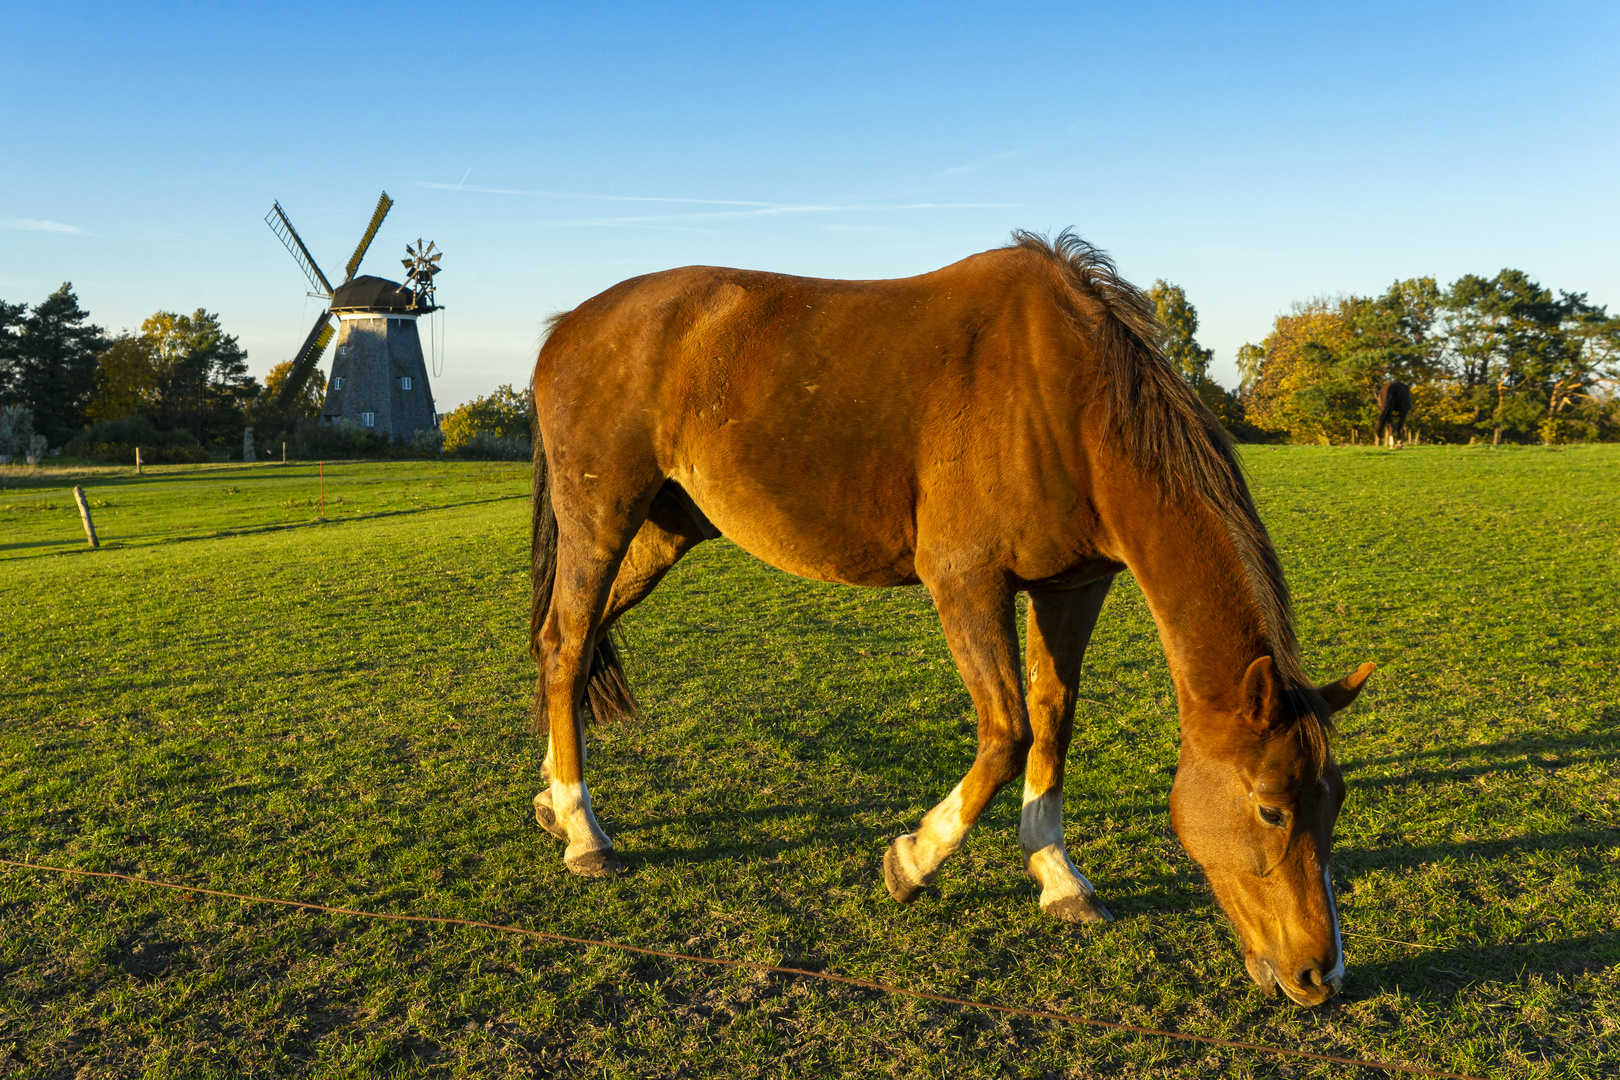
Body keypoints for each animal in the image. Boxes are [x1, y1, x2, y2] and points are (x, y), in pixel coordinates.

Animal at [524, 233, 1373, 1010]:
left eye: (1335, 798)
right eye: (1270, 807)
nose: (1320, 975)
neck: (1067, 398)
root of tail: (570, 325)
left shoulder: (1074, 588)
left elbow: (1052, 723)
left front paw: (1059, 876)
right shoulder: (967, 583)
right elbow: (1007, 735)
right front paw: (913, 861)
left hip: (663, 531)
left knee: (565, 645)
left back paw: (553, 801)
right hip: (603, 520)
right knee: (567, 646)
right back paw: (585, 832)